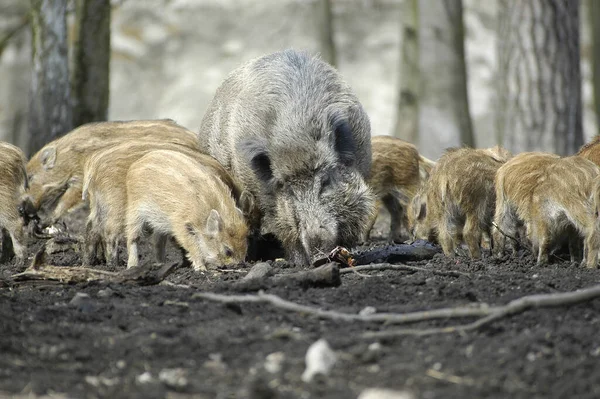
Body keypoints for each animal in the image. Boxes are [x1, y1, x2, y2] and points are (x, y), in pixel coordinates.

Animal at [27, 118, 200, 228]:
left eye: (30, 178)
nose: (23, 210)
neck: (68, 158)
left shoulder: (80, 180)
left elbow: (66, 200)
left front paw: (46, 221)